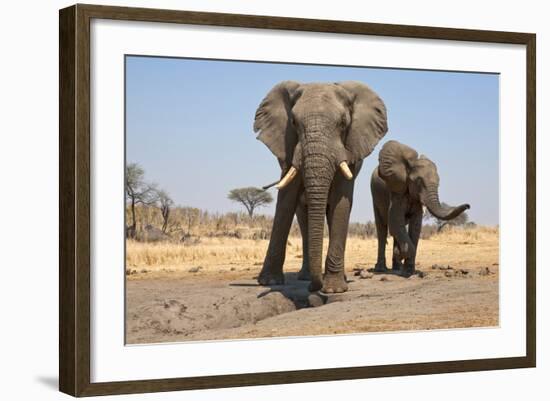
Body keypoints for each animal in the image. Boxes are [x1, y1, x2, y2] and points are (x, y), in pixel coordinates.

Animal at [254, 79, 388, 292]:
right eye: (293, 123)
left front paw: (333, 289)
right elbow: (286, 200)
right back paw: (305, 277)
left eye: (343, 123)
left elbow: (341, 201)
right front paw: (269, 282)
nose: (314, 288)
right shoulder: (289, 147)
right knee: (304, 218)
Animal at [370, 140, 470, 276]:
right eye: (419, 181)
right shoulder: (397, 192)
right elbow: (395, 220)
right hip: (375, 195)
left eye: (439, 182)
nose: (468, 205)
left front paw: (408, 270)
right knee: (382, 229)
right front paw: (402, 257)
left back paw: (397, 267)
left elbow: (415, 225)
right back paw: (381, 269)